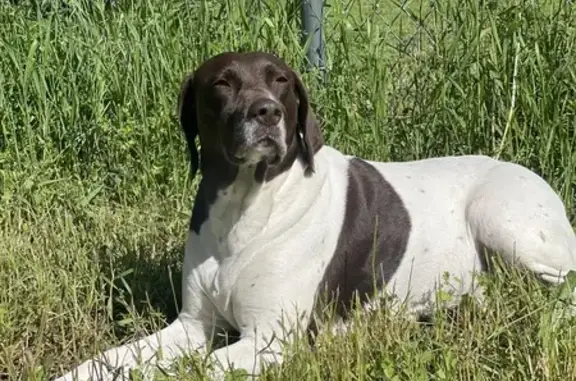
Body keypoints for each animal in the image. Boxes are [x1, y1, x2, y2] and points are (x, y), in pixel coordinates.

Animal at [54, 51, 576, 380]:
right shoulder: (192, 326)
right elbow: (110, 359)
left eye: (281, 80)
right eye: (222, 83)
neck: (246, 209)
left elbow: (195, 371)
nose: (266, 112)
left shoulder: (268, 340)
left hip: (501, 219)